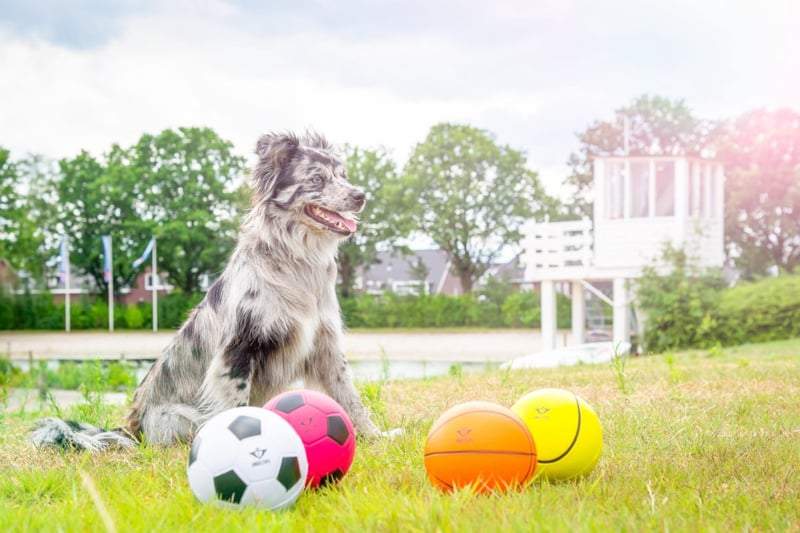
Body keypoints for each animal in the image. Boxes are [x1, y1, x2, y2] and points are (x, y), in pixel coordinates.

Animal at [31, 132, 382, 448]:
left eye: (343, 176)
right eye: (317, 179)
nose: (361, 195)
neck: (297, 260)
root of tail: (133, 430)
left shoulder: (325, 345)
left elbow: (348, 396)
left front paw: (374, 436)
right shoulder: (240, 347)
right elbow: (237, 403)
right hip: (182, 417)